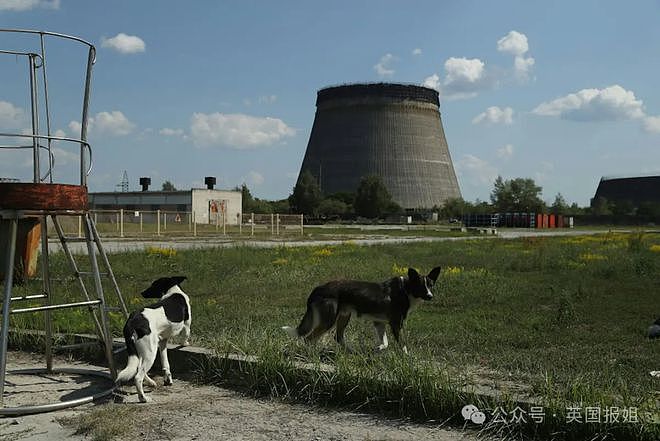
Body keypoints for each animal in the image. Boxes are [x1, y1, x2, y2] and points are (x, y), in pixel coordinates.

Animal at [282, 264, 440, 354]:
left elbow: (385, 342)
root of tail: (318, 288)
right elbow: (402, 344)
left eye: (430, 285)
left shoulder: (379, 322)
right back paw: (311, 355)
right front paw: (407, 357)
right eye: (420, 286)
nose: (430, 296)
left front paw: (378, 349)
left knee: (338, 337)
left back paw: (352, 351)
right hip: (329, 320)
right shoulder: (396, 323)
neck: (406, 290)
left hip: (344, 316)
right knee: (309, 338)